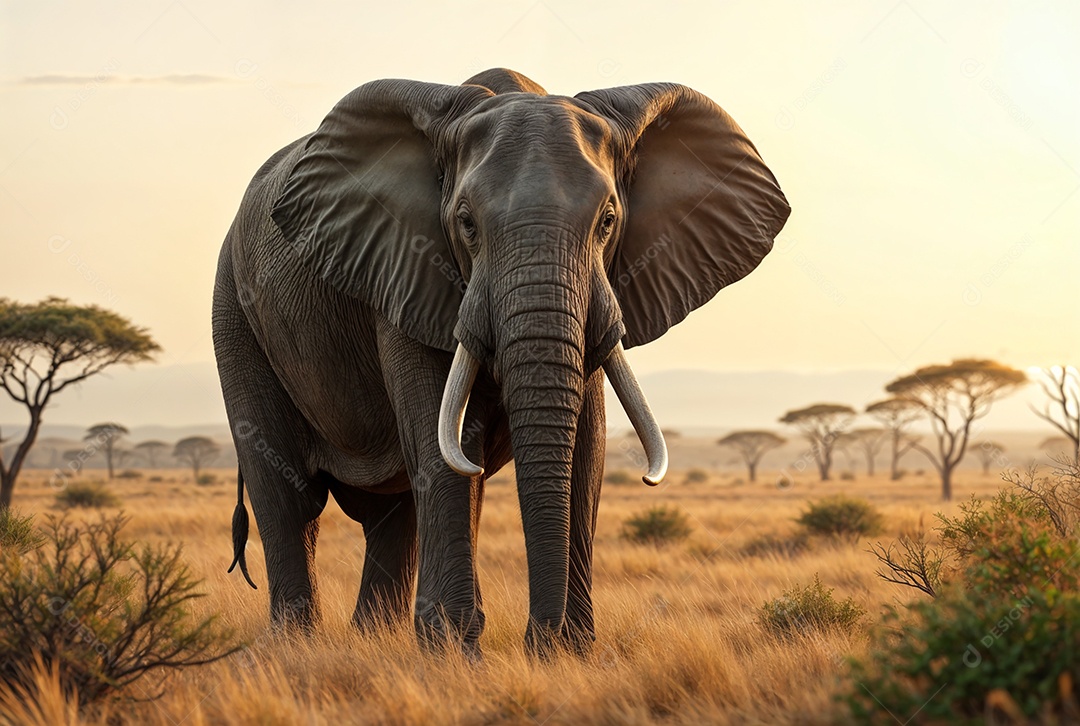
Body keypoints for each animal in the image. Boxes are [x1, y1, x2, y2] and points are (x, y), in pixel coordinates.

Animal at [213, 67, 789, 657]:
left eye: (608, 222)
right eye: (466, 224)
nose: (541, 638)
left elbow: (585, 446)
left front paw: (568, 652)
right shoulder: (405, 268)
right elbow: (440, 440)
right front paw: (454, 651)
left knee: (391, 514)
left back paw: (371, 638)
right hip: (235, 311)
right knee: (289, 497)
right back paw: (295, 646)